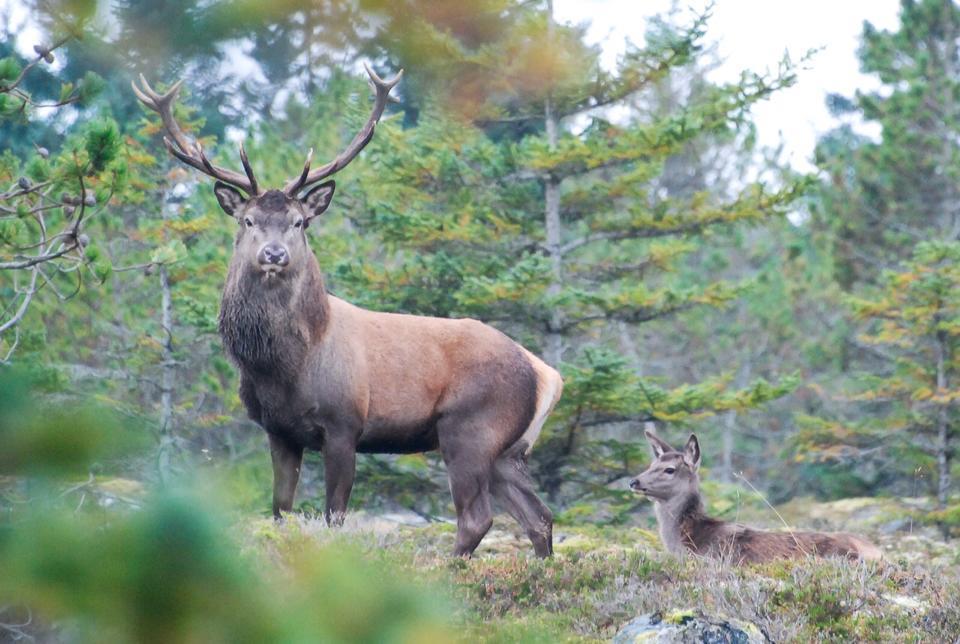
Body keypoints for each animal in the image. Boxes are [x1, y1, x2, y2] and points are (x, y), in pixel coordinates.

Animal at [131, 66, 560, 560]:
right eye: (248, 220)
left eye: (299, 222)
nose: (274, 254)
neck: (284, 366)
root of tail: (545, 373)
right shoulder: (278, 432)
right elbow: (280, 512)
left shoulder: (344, 425)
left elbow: (334, 517)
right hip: (508, 450)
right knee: (539, 517)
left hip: (470, 429)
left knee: (477, 518)